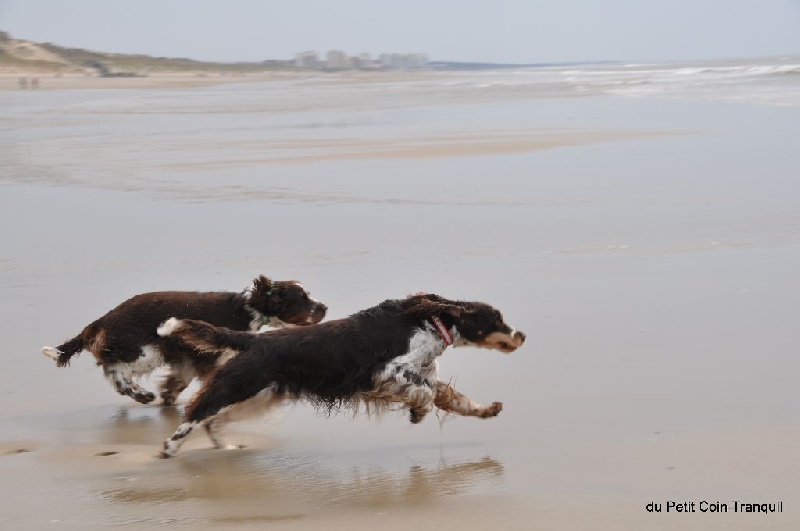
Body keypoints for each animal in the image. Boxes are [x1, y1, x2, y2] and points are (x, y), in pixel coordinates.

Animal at [41, 275, 327, 406]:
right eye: (302, 298)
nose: (324, 307)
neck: (248, 309)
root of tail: (102, 320)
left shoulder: (189, 356)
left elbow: (178, 381)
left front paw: (169, 398)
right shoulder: (213, 356)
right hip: (146, 350)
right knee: (114, 369)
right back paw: (140, 393)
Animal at [156, 293, 525, 458]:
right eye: (497, 320)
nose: (521, 335)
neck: (430, 324)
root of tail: (252, 339)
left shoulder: (417, 374)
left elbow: (453, 397)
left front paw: (487, 409)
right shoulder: (386, 370)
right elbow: (427, 392)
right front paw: (418, 412)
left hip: (261, 395)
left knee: (213, 421)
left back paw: (226, 447)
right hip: (236, 386)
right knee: (197, 413)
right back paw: (168, 450)